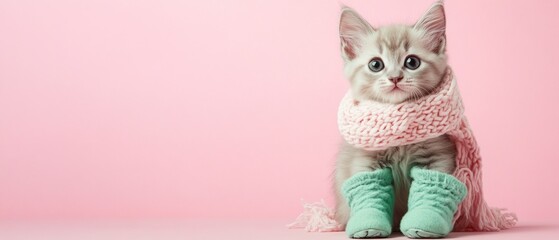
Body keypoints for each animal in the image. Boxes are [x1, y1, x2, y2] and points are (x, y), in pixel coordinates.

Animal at [334, 1, 458, 231]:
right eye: (375, 64)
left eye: (412, 62)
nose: (394, 78)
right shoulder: (366, 160)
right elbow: (370, 192)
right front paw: (369, 225)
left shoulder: (437, 157)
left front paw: (424, 223)